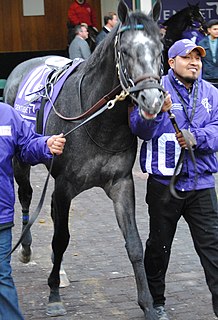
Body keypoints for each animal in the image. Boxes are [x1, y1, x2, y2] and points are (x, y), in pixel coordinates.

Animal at [4, 1, 165, 318]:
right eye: (124, 50)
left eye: (160, 47)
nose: (152, 100)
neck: (95, 120)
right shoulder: (64, 186)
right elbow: (61, 239)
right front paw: (54, 296)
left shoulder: (121, 183)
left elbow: (134, 243)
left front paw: (147, 304)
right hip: (21, 160)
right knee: (27, 196)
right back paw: (26, 248)